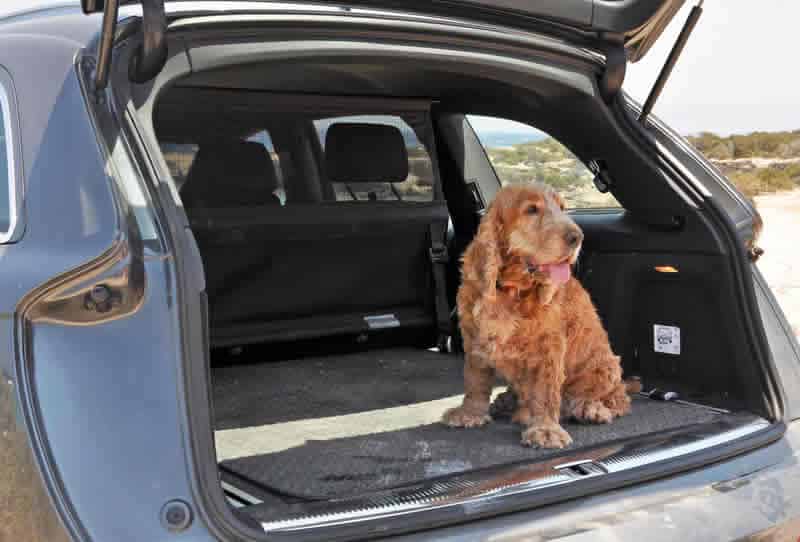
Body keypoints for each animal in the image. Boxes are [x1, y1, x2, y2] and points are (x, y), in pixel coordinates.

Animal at [444, 184, 632, 450]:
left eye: (563, 207)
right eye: (531, 209)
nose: (577, 237)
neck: (511, 290)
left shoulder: (548, 347)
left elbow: (545, 390)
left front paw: (545, 430)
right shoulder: (475, 337)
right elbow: (475, 379)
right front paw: (470, 413)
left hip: (606, 366)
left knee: (615, 399)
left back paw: (589, 409)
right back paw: (508, 402)